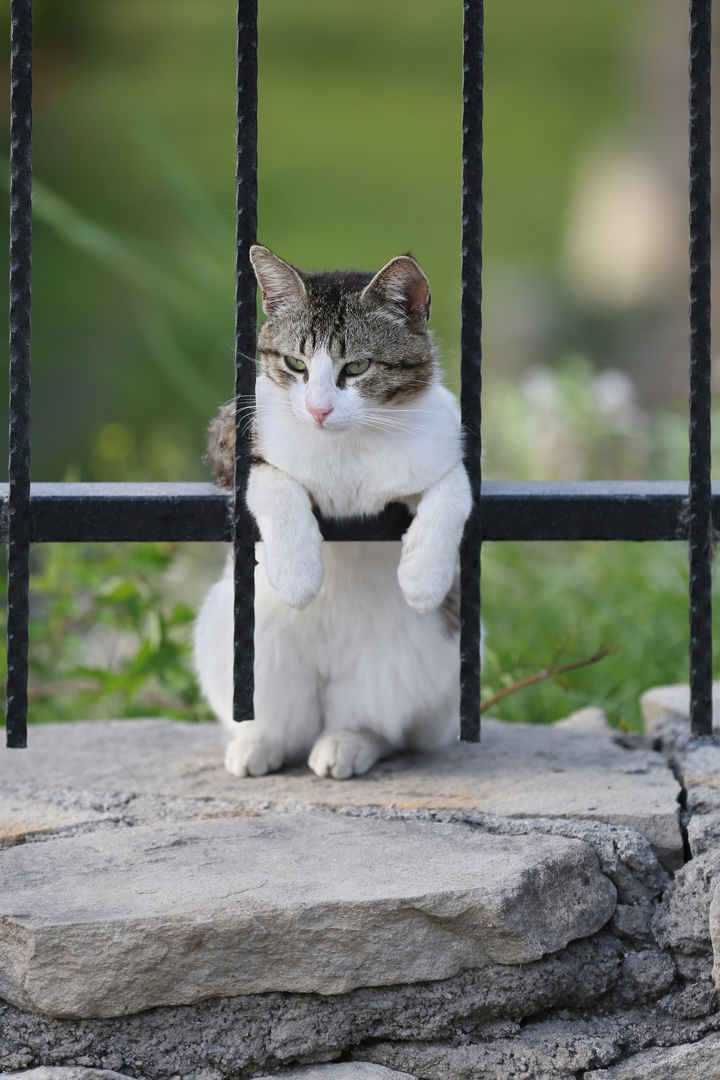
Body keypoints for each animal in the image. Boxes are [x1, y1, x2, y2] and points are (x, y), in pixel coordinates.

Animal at [194, 248, 472, 781]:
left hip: (409, 670)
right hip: (238, 644)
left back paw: (348, 741)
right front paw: (297, 573)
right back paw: (257, 742)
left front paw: (424, 577)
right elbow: (274, 483)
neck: (347, 445)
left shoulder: (445, 441)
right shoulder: (231, 437)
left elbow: (455, 490)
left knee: (377, 721)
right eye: (295, 363)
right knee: (279, 718)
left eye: (357, 366)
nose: (319, 409)